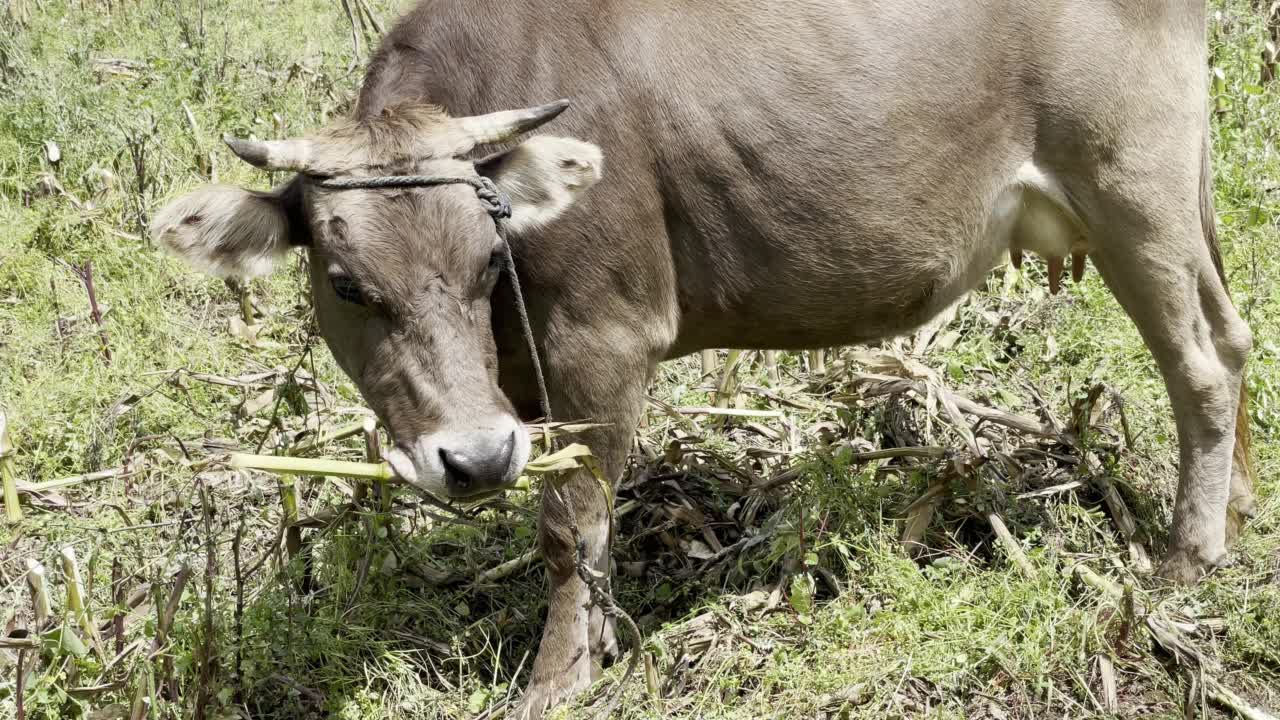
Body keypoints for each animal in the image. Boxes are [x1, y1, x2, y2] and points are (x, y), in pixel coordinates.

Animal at [147, 2, 1249, 712]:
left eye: (484, 258)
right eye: (345, 284)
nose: (475, 458)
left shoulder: (602, 338)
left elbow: (569, 524)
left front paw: (557, 680)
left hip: (1132, 185)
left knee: (1197, 364)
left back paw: (1184, 558)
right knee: (1232, 339)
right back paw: (1233, 509)